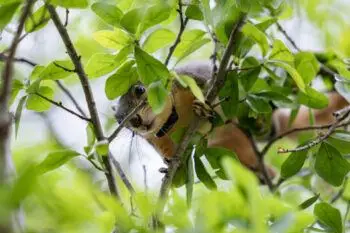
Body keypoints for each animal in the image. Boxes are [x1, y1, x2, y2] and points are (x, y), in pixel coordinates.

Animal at [113, 61, 348, 178]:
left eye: (139, 89)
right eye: (119, 121)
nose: (138, 123)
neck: (172, 117)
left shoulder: (193, 79)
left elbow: (215, 89)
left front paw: (204, 107)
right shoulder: (157, 138)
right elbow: (168, 151)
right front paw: (170, 165)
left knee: (266, 129)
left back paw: (261, 126)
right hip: (231, 150)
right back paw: (263, 174)